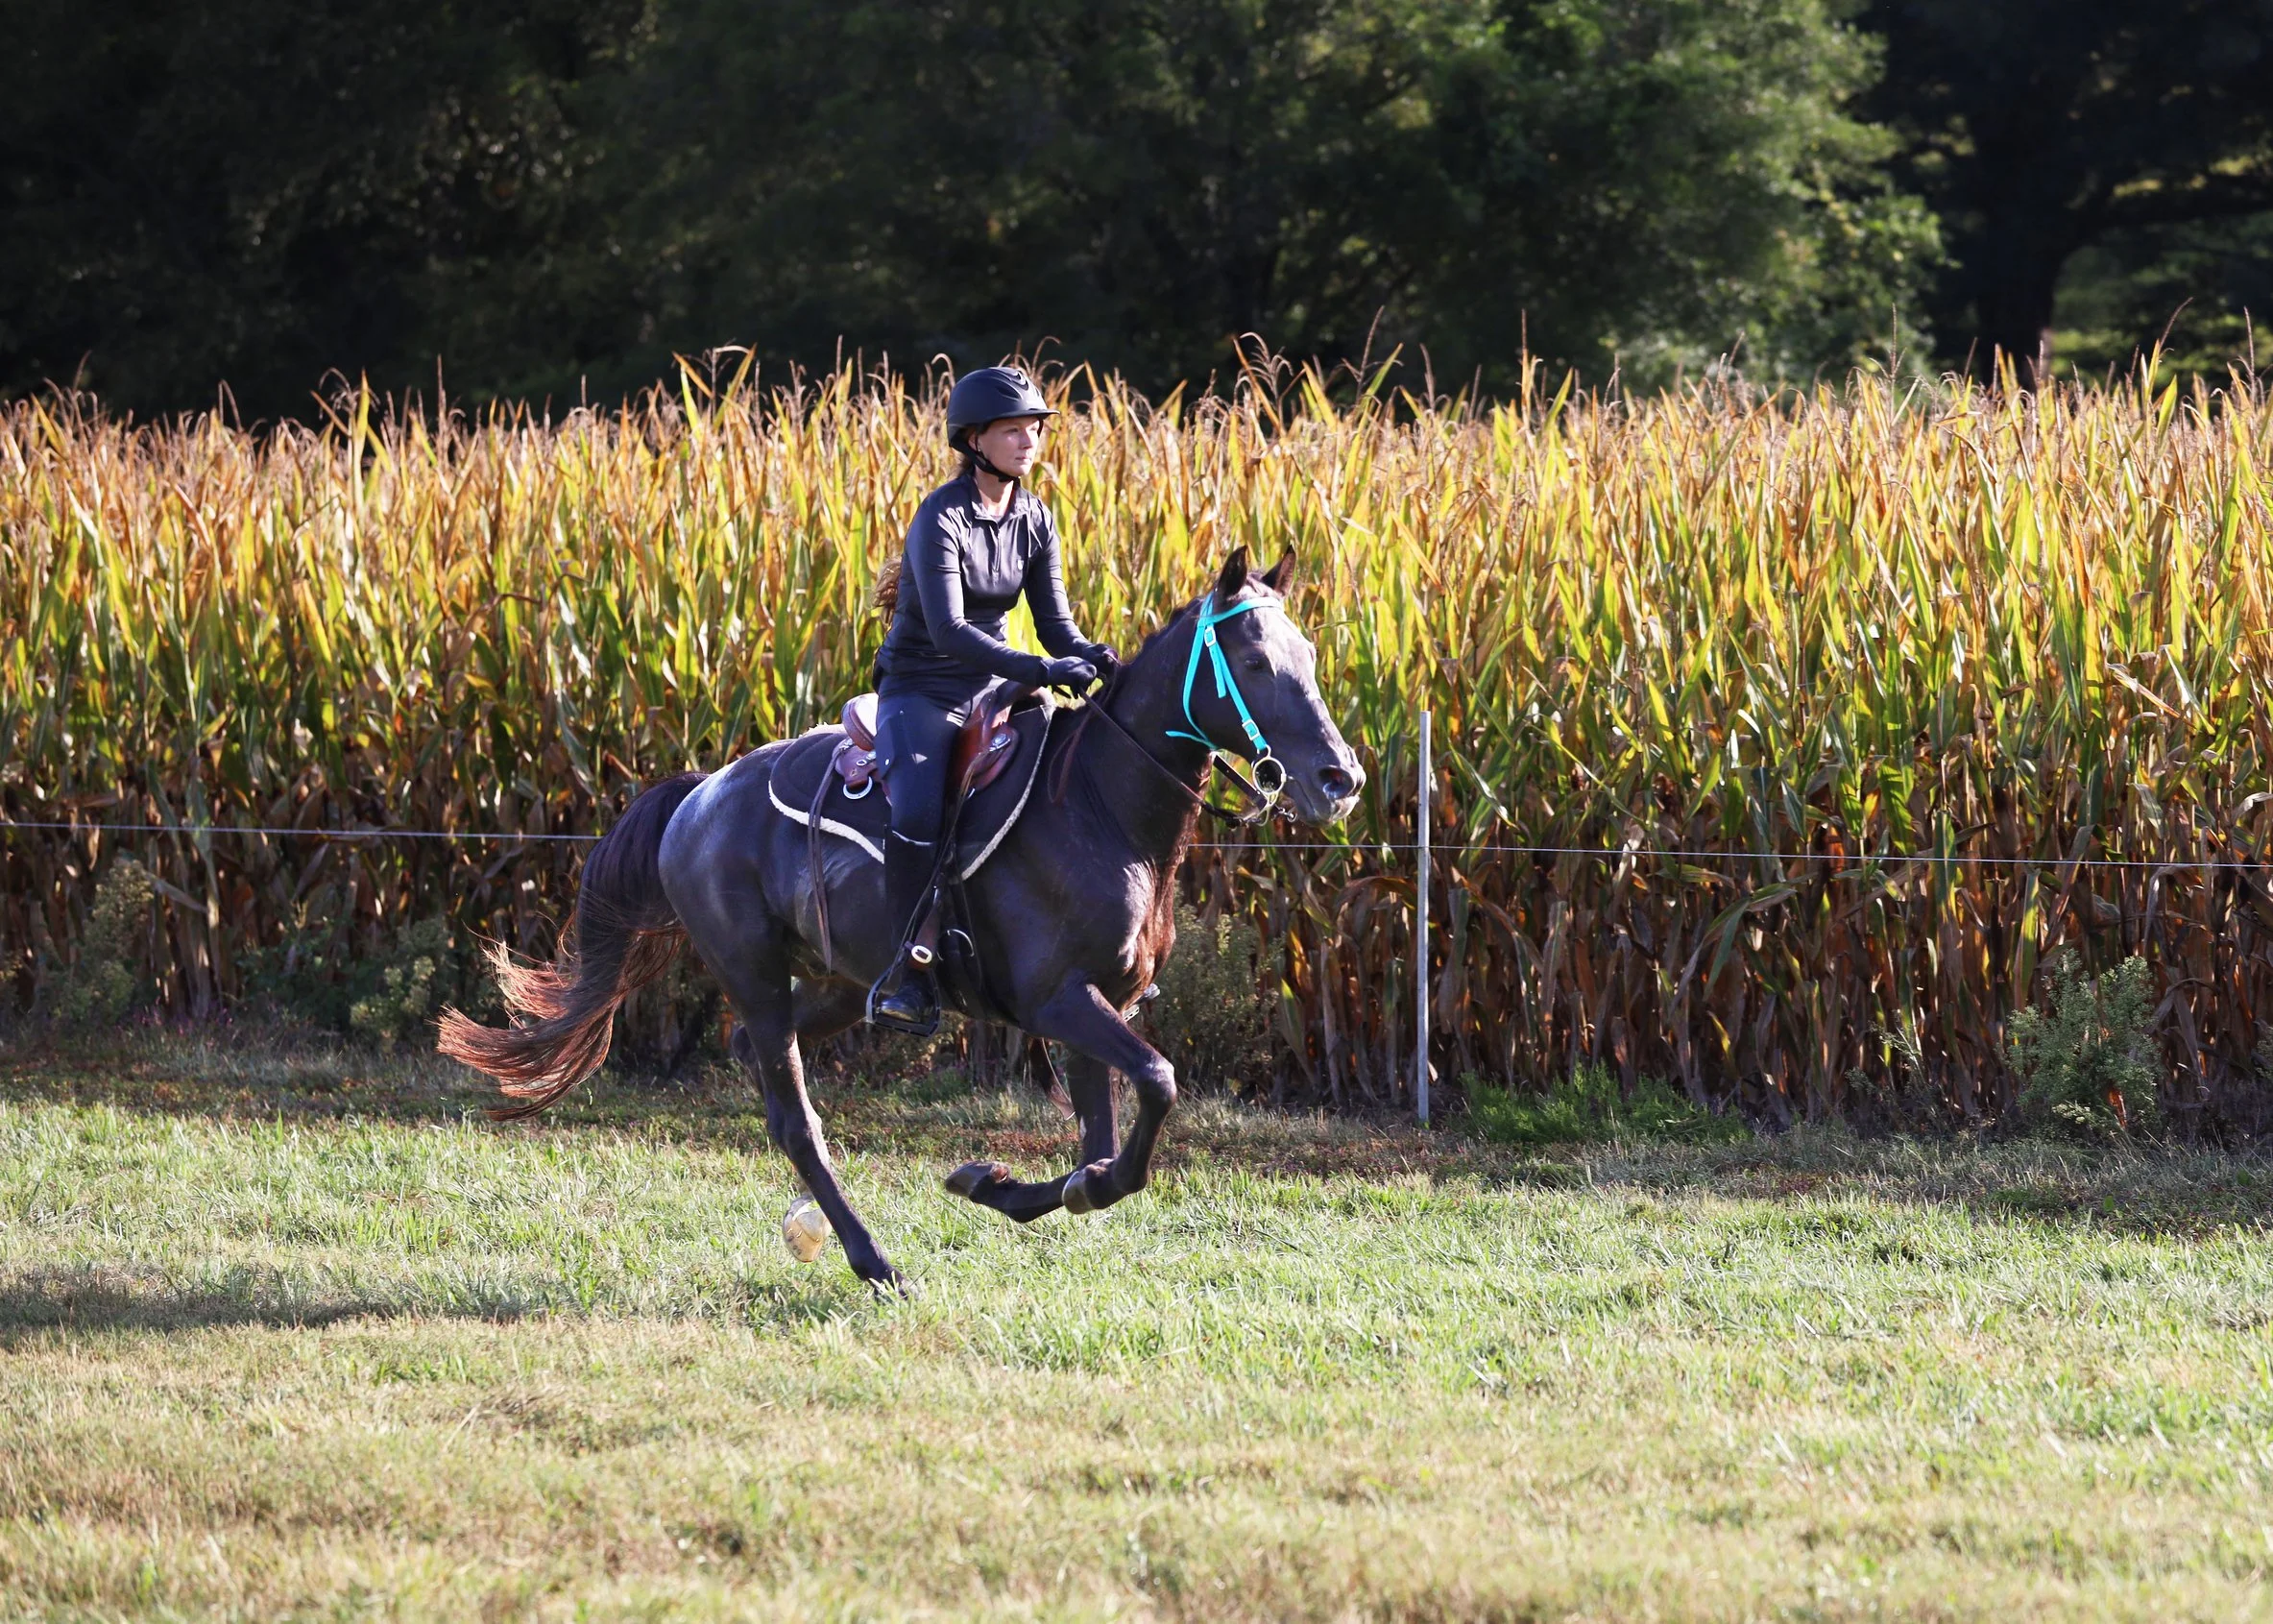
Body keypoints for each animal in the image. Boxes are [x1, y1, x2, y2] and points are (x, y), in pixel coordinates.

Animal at [437, 545, 1364, 1289]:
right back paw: (871, 1259)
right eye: (1252, 660)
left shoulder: (1102, 1003)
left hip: (842, 985)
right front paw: (997, 1182)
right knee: (794, 1119)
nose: (1340, 779)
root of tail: (697, 795)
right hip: (753, 973)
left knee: (757, 1054)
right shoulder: (1058, 1001)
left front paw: (996, 1183)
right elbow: (1156, 1088)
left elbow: (1105, 1151)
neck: (1102, 809)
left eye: (1310, 655)